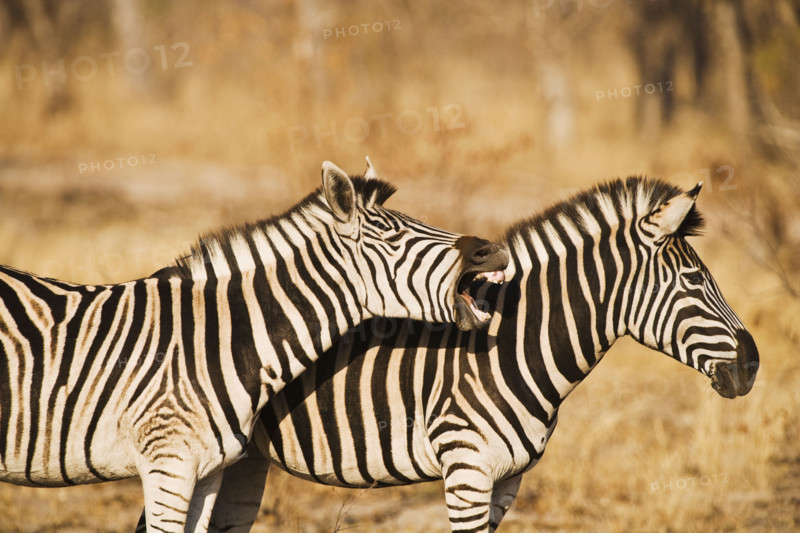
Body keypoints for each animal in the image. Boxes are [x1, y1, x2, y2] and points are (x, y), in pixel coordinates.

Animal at [194, 177, 759, 533]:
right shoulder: (467, 469)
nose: (753, 366)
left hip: (242, 463)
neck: (512, 349)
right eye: (694, 280)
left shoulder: (507, 481)